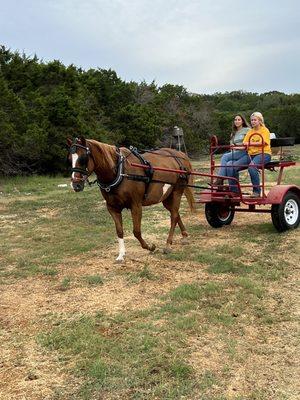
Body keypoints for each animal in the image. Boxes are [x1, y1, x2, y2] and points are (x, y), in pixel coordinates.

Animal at [67, 138, 196, 262]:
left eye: (83, 158)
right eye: (69, 159)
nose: (75, 185)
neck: (120, 172)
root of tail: (180, 155)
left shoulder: (136, 206)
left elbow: (136, 231)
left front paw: (150, 247)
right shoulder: (112, 208)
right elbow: (119, 231)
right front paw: (121, 255)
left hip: (177, 192)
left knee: (174, 216)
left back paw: (168, 244)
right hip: (166, 197)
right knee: (176, 213)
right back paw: (184, 235)